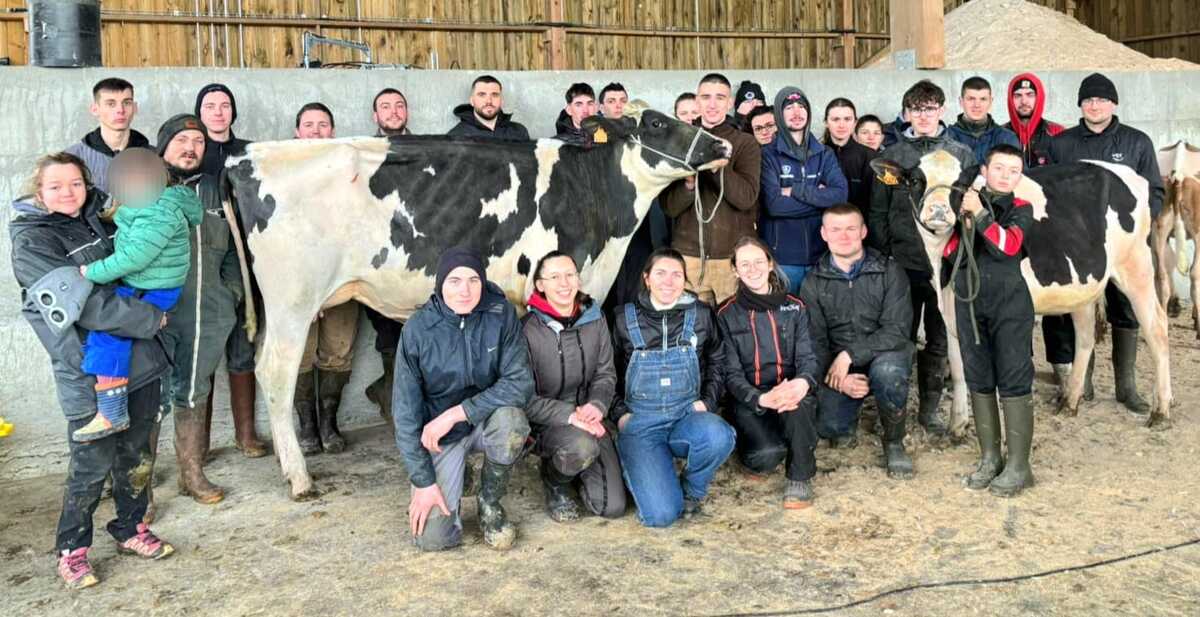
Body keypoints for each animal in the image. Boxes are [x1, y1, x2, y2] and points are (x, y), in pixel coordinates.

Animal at [223, 105, 729, 496]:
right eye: (658, 122)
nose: (722, 146)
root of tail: (246, 157)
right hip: (293, 299)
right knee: (276, 373)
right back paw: (299, 477)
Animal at [873, 150, 1171, 434]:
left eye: (959, 184)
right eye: (915, 180)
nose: (938, 210)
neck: (942, 265)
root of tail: (1126, 172)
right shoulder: (951, 310)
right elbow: (958, 369)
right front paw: (957, 428)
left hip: (1137, 269)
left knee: (1157, 328)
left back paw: (1161, 411)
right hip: (1083, 285)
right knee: (1085, 337)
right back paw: (1070, 401)